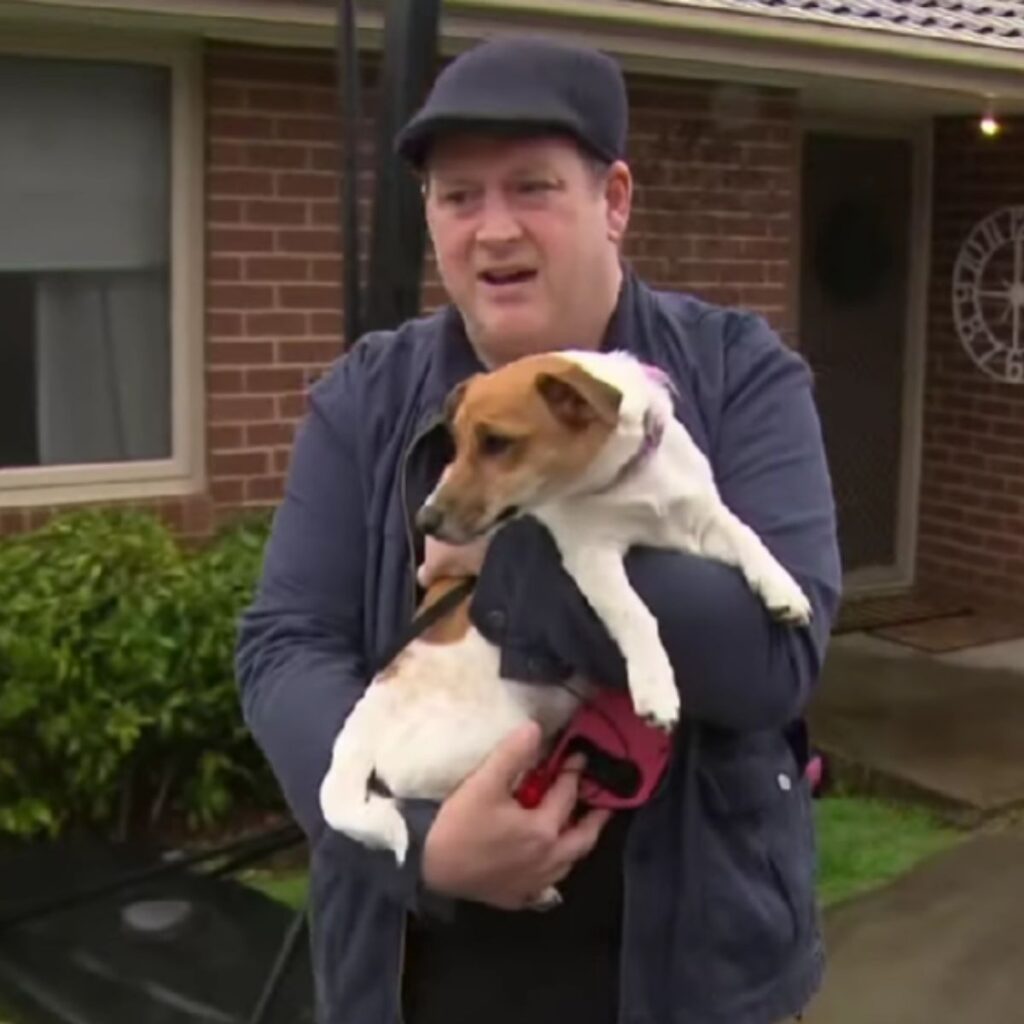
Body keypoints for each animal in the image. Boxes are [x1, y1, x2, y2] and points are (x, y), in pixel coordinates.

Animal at [315, 348, 811, 901]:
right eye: (457, 444)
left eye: (496, 443)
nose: (425, 522)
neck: (626, 484)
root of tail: (358, 731)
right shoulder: (589, 557)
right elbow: (635, 614)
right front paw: (656, 688)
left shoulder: (701, 517)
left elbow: (746, 535)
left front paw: (784, 590)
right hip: (497, 737)